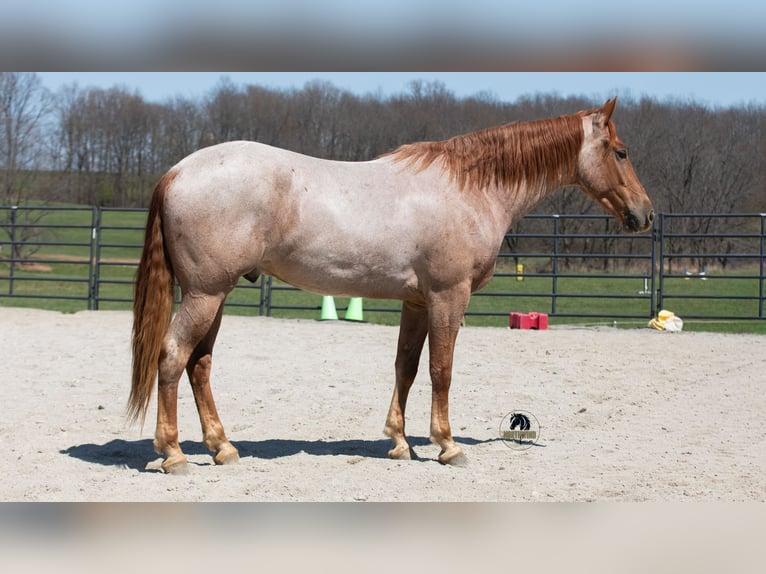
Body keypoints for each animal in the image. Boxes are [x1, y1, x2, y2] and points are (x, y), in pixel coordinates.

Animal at [130, 97, 653, 473]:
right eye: (622, 152)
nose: (646, 214)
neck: (469, 188)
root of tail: (178, 170)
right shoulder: (448, 296)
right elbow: (442, 370)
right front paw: (447, 445)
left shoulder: (416, 302)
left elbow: (407, 366)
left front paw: (400, 442)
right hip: (206, 295)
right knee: (172, 357)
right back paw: (173, 454)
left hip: (214, 296)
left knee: (199, 365)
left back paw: (223, 448)